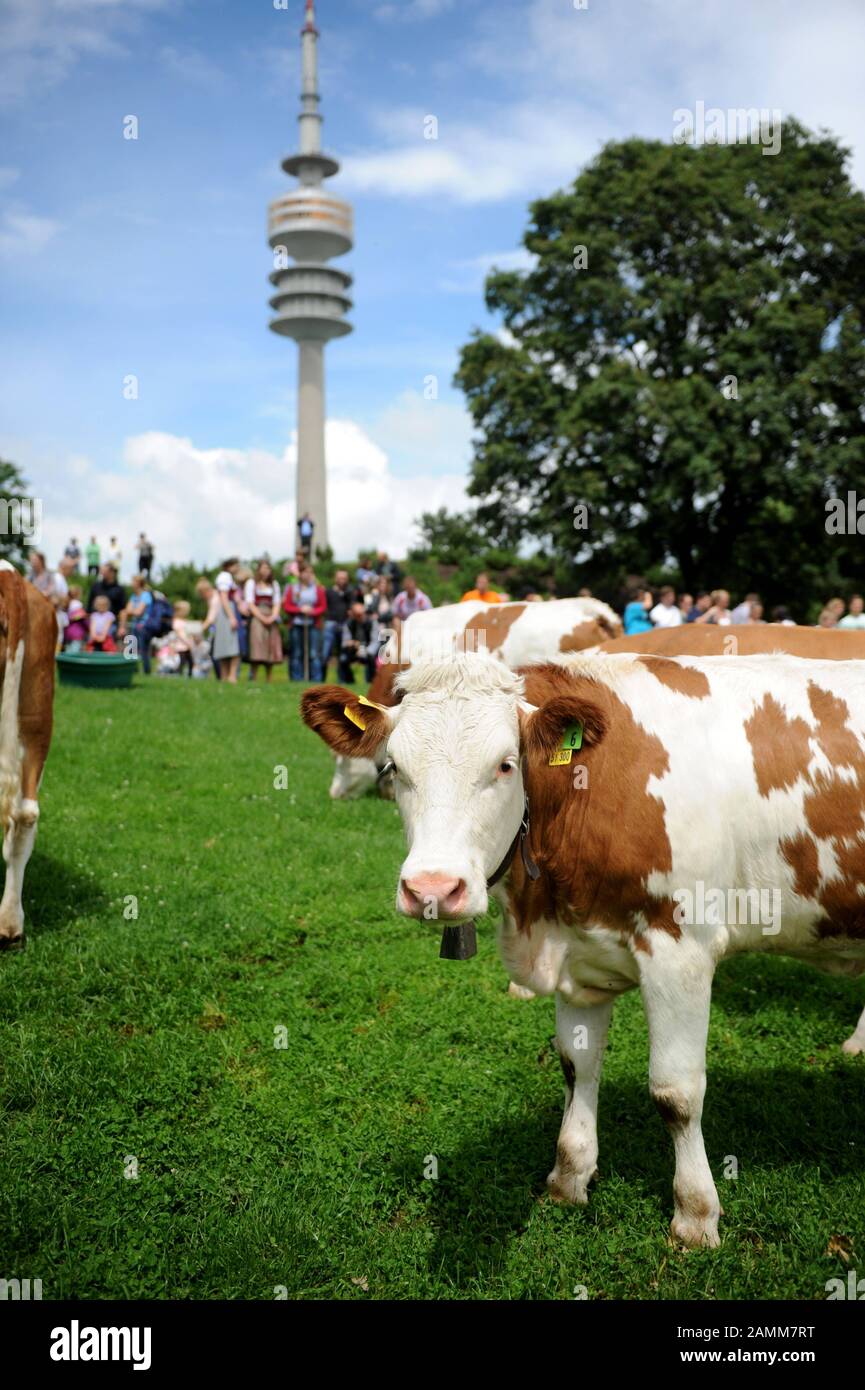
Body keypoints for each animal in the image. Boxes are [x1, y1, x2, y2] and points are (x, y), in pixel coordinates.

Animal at [304, 650, 865, 1251]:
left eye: (506, 765)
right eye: (393, 769)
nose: (433, 889)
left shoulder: (682, 950)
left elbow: (677, 1092)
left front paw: (695, 1215)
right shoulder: (578, 955)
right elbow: (577, 1066)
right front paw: (569, 1176)